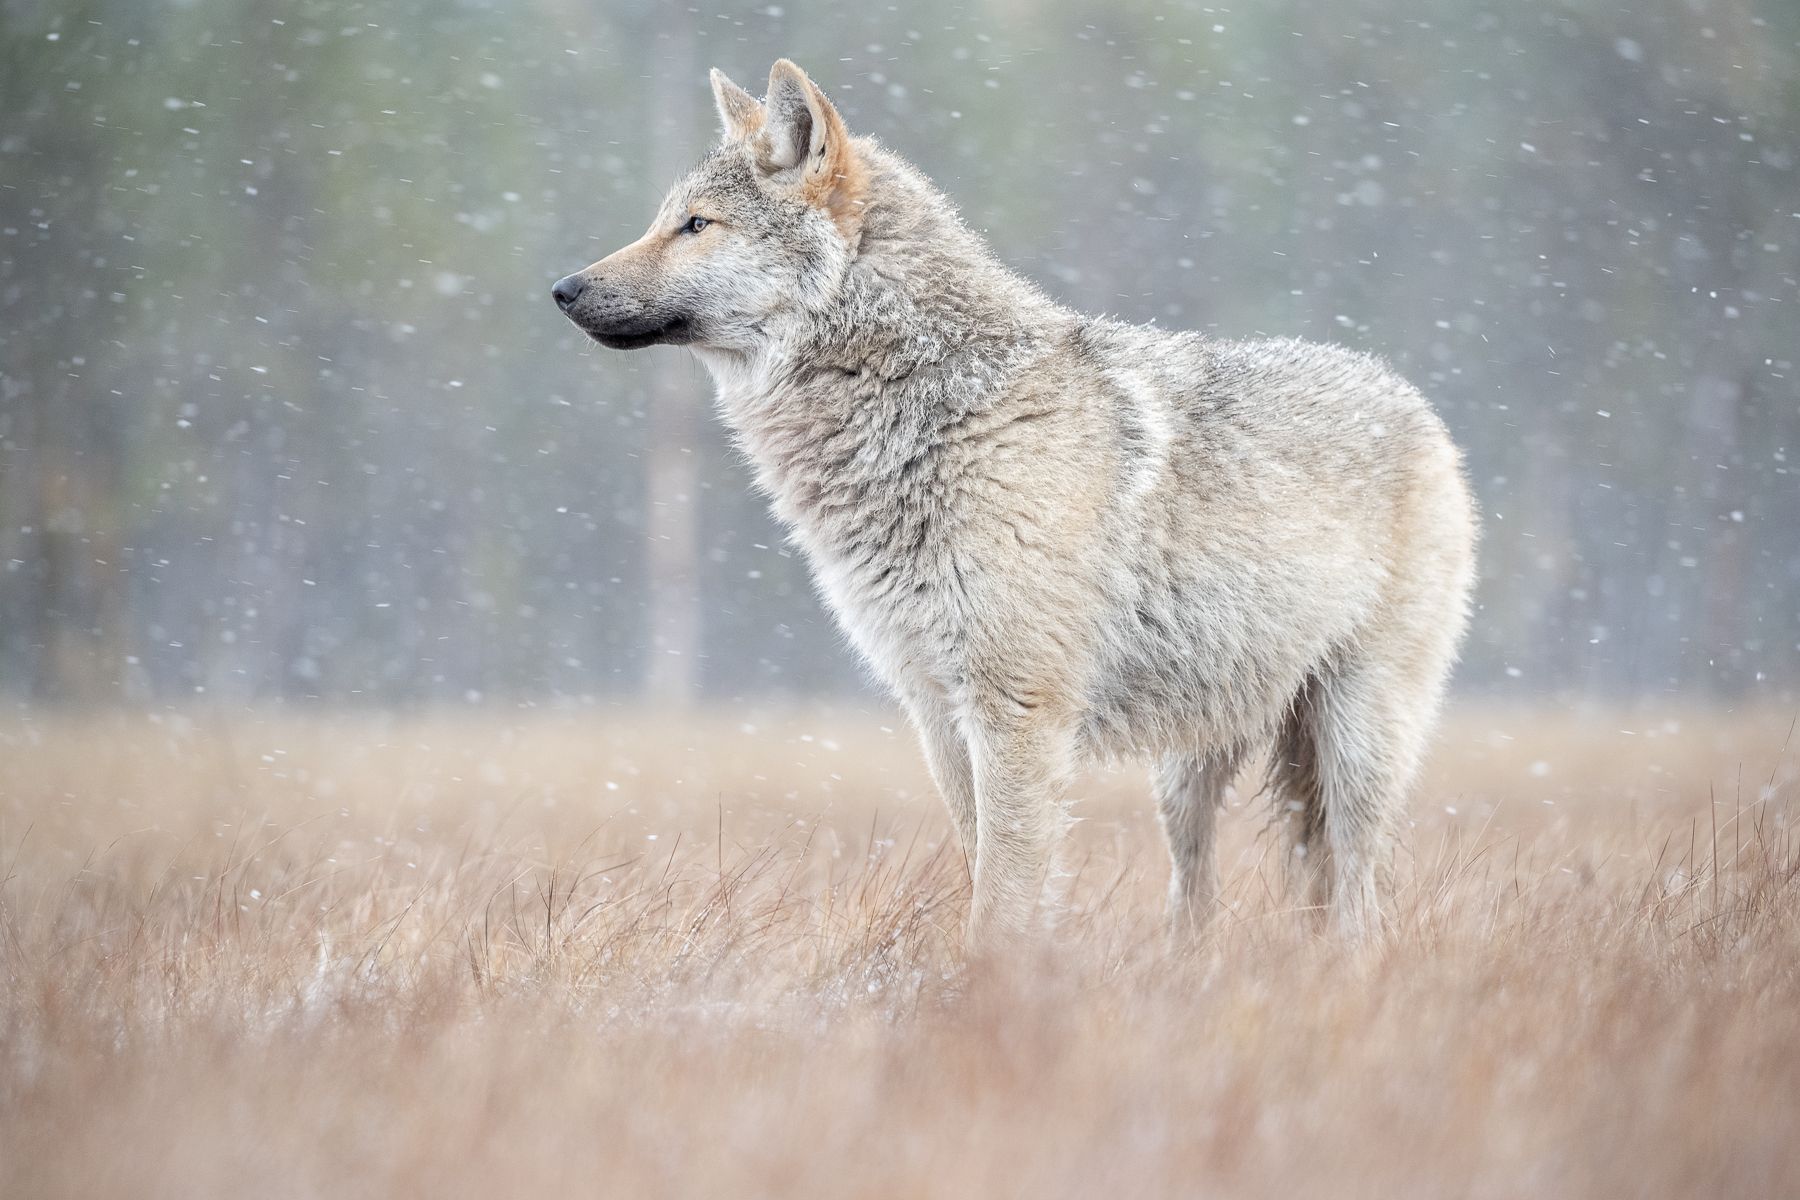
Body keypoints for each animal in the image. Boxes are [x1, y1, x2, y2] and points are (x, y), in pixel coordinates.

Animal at [547, 58, 1476, 949]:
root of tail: (1415, 403)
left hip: (1356, 744)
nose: (563, 289)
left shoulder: (1016, 711)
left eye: (696, 225)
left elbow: (1002, 892)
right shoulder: (937, 710)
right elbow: (981, 866)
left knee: (1357, 894)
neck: (926, 415)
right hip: (1190, 766)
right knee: (1203, 887)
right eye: (666, 219)